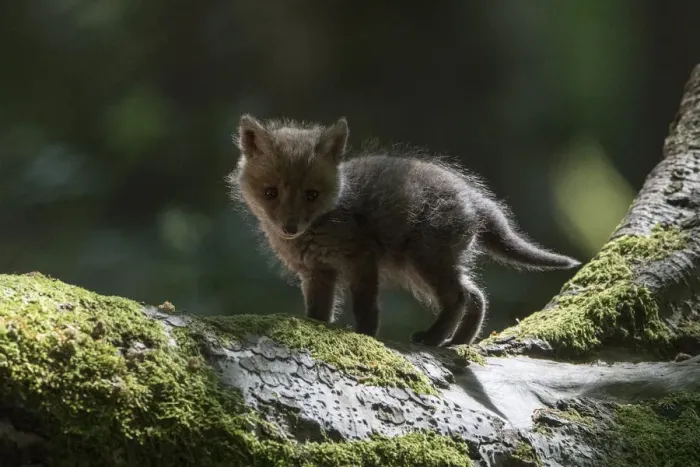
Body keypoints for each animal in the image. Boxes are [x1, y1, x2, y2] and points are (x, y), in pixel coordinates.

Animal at [227, 114, 581, 347]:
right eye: (271, 193)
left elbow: (365, 306)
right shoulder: (316, 273)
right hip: (430, 265)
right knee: (476, 296)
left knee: (459, 298)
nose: (290, 227)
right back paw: (459, 343)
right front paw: (316, 330)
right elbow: (318, 311)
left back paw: (433, 338)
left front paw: (366, 336)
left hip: (423, 259)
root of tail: (473, 196)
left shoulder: (361, 260)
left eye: (311, 195)